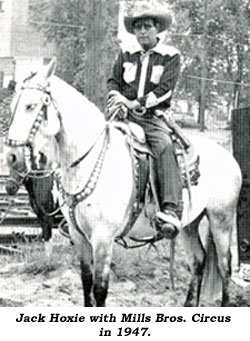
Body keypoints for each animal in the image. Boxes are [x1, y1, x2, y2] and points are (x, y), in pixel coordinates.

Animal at [6, 59, 242, 306]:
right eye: (12, 107)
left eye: (30, 106)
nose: (11, 156)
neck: (90, 160)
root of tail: (227, 156)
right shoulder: (79, 238)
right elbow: (86, 284)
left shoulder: (102, 239)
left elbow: (99, 290)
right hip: (189, 223)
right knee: (198, 260)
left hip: (221, 218)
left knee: (224, 266)